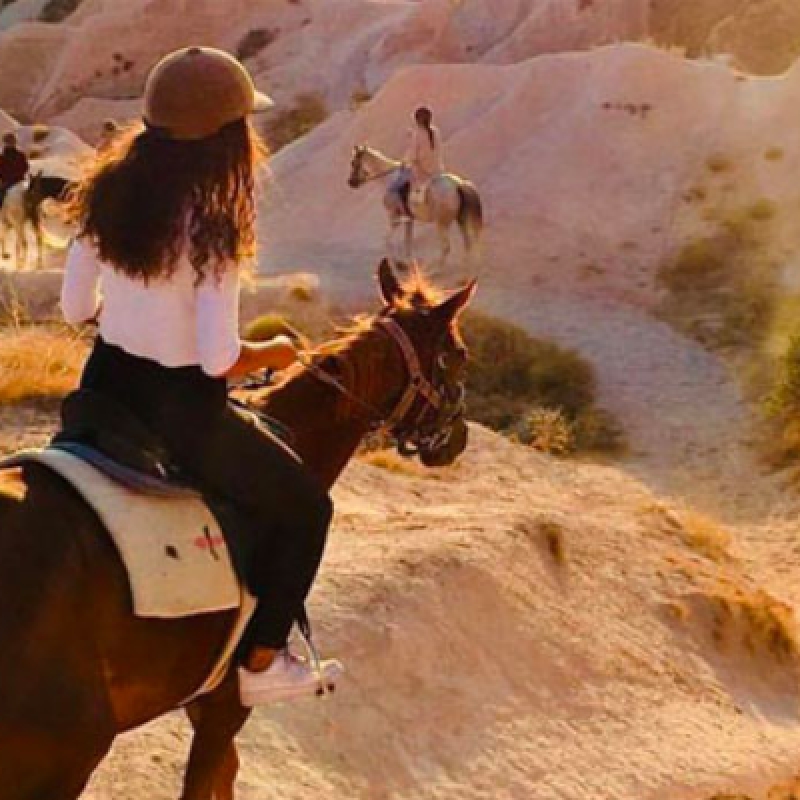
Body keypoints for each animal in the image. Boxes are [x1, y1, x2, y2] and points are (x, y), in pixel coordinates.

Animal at [0, 260, 476, 796]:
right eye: (459, 354)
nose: (458, 437)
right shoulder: (226, 705)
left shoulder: (203, 703)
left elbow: (226, 773)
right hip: (66, 757)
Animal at [348, 148, 484, 276]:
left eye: (353, 162)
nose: (351, 182)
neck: (389, 179)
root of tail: (459, 184)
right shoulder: (409, 219)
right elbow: (407, 242)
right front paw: (407, 264)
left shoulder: (394, 217)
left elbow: (387, 240)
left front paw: (397, 265)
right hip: (460, 219)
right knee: (467, 242)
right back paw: (465, 268)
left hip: (441, 223)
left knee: (446, 246)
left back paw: (437, 271)